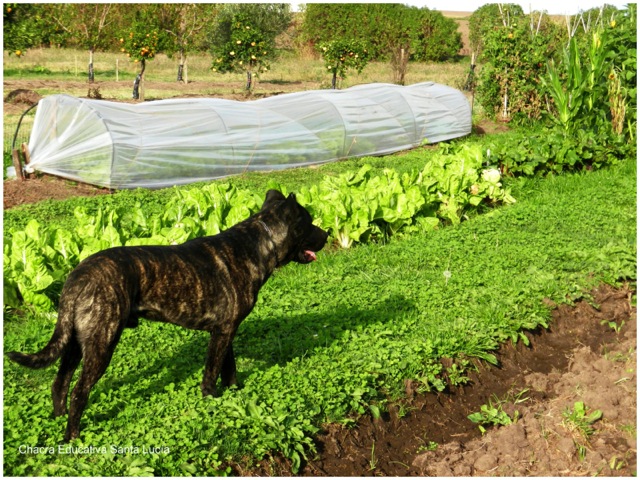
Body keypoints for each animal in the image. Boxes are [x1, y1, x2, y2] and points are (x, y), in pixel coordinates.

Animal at [7, 189, 330, 440]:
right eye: (310, 223)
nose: (327, 234)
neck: (259, 243)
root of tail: (78, 275)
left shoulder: (225, 331)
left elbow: (229, 368)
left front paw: (234, 392)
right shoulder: (223, 333)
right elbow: (211, 372)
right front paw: (211, 400)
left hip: (74, 341)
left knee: (60, 383)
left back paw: (58, 421)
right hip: (102, 343)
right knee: (79, 391)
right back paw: (73, 436)